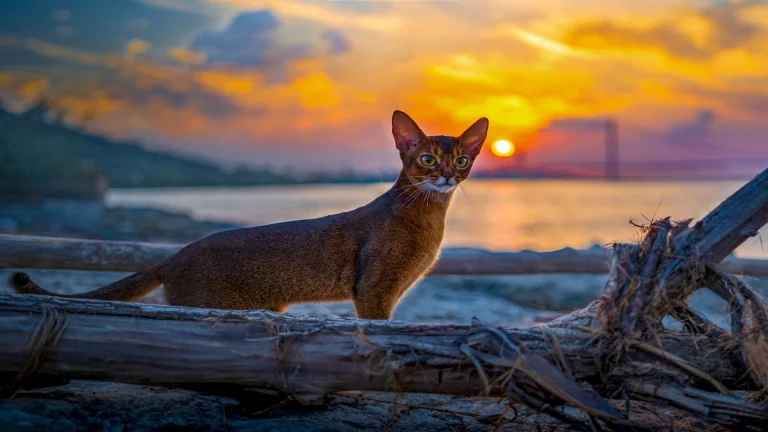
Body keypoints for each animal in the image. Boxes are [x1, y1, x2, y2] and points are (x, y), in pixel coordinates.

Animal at [12, 110, 488, 320]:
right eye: (427, 160)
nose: (447, 174)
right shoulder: (374, 291)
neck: (429, 218)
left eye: (462, 160)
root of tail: (176, 254)